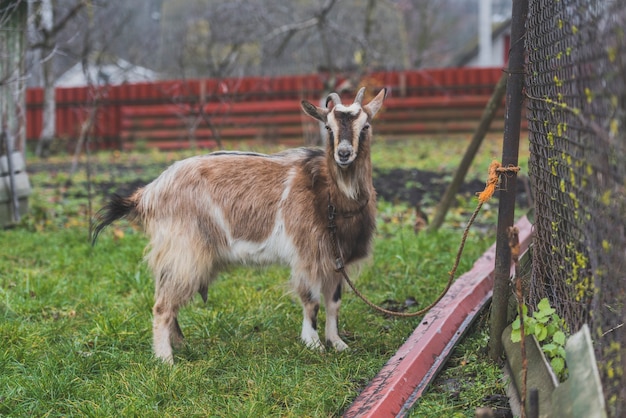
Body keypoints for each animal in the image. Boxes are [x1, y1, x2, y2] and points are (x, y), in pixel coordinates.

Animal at [92, 86, 386, 360]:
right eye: (328, 127)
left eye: (366, 126)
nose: (344, 154)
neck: (328, 195)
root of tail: (148, 193)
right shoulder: (307, 255)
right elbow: (311, 301)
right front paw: (313, 344)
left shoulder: (336, 259)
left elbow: (334, 303)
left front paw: (338, 343)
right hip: (184, 251)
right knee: (162, 305)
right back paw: (166, 360)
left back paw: (181, 346)